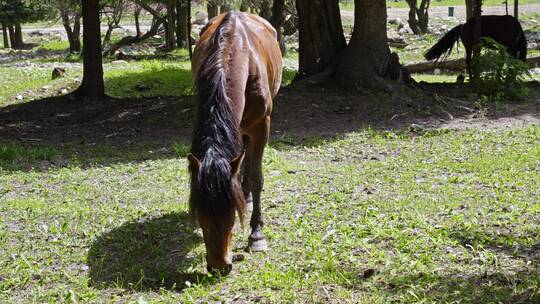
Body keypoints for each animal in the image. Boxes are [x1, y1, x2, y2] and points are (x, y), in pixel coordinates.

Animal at [187, 11, 282, 276]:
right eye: (201, 216)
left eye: (231, 215)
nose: (219, 266)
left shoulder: (262, 126)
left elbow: (257, 177)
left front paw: (257, 234)